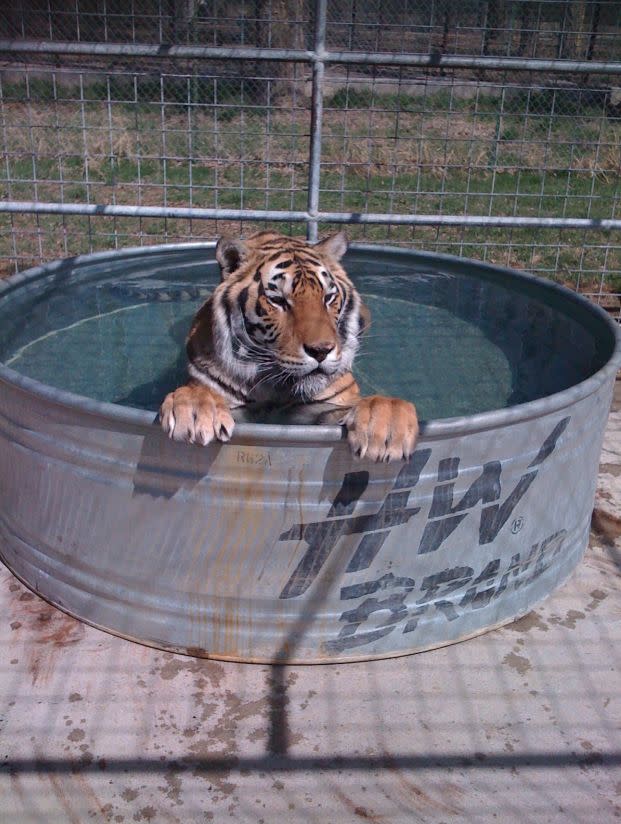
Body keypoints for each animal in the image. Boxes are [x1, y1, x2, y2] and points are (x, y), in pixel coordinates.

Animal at [160, 232, 418, 460]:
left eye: (328, 298)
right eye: (278, 301)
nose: (321, 350)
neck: (275, 387)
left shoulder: (327, 406)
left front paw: (386, 422)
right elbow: (199, 392)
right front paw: (196, 409)